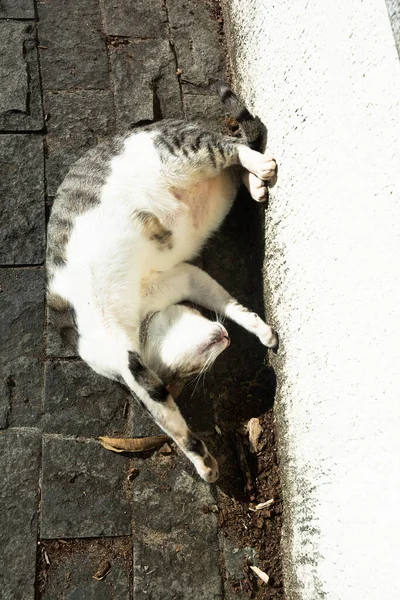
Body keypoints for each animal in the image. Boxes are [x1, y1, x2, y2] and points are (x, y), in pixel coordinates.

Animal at [47, 85, 278, 482]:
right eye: (197, 366)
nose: (224, 338)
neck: (141, 321)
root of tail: (152, 125)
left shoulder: (130, 366)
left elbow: (172, 425)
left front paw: (202, 463)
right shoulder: (184, 277)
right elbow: (230, 304)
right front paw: (260, 329)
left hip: (184, 153)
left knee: (235, 144)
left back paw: (261, 167)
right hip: (217, 191)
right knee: (233, 163)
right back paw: (255, 184)